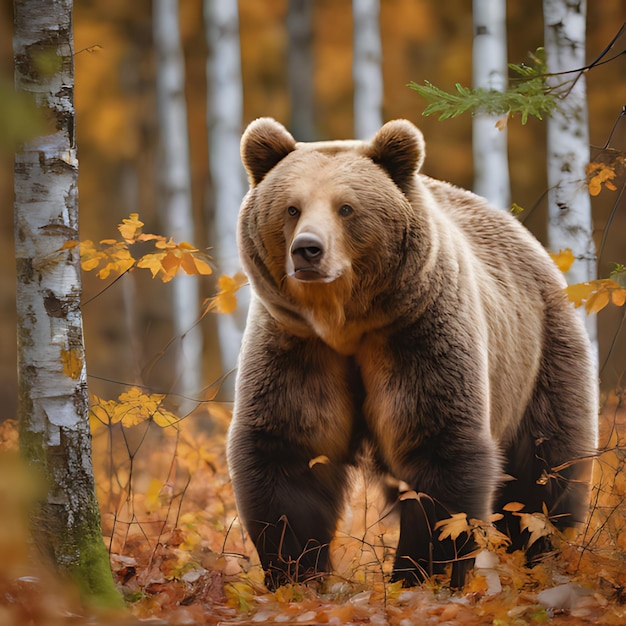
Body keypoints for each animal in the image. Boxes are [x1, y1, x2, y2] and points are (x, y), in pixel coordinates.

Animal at [227, 118, 596, 588]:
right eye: (292, 208)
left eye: (346, 208)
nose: (307, 249)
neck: (345, 323)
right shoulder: (298, 346)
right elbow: (288, 450)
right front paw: (295, 574)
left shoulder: (416, 334)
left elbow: (440, 450)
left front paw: (419, 575)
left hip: (542, 355)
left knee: (542, 477)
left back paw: (536, 560)